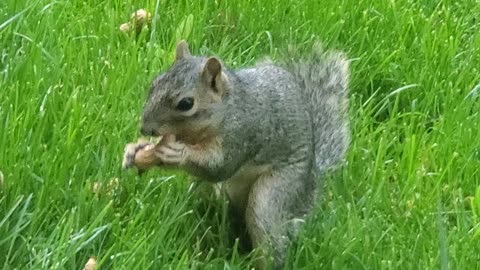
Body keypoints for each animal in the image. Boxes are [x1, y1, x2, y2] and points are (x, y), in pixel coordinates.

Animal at [122, 40, 350, 270]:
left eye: (186, 103)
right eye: (154, 83)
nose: (145, 128)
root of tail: (310, 181)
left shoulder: (243, 133)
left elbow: (220, 166)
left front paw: (178, 153)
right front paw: (136, 149)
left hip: (280, 188)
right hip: (208, 191)